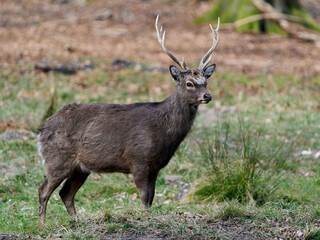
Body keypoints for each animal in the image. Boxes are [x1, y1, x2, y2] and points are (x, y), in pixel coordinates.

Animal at [37, 15, 220, 224]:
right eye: (189, 83)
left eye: (206, 82)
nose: (207, 96)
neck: (163, 132)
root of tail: (42, 128)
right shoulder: (137, 159)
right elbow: (144, 197)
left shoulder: (155, 166)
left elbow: (150, 199)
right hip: (57, 158)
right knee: (43, 190)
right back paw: (42, 225)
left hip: (80, 167)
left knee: (66, 193)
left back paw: (76, 220)